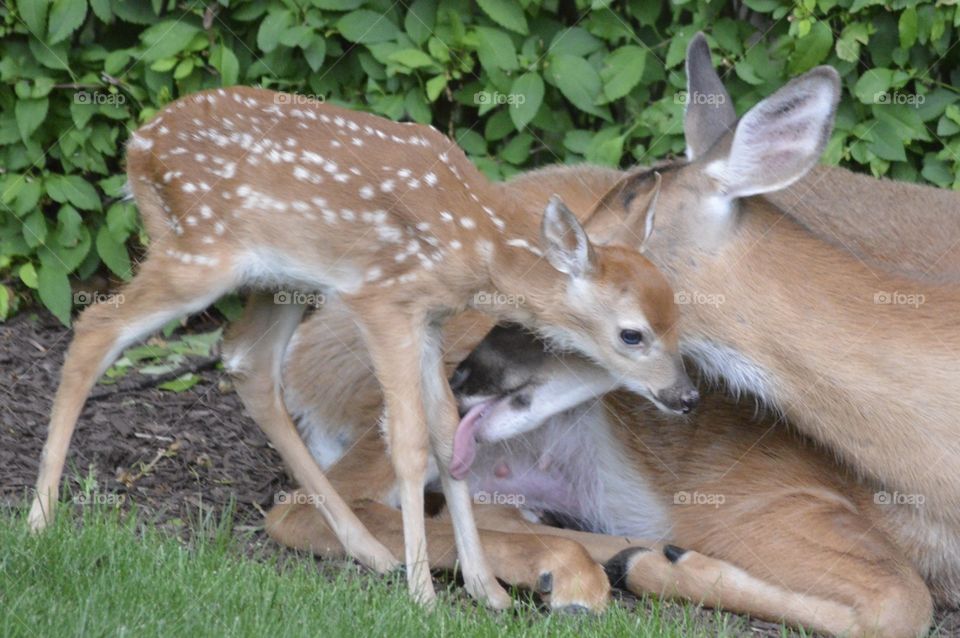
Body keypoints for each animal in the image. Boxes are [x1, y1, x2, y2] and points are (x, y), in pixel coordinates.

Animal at [26, 89, 692, 608]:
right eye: (631, 333)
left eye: (678, 318)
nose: (683, 396)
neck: (477, 241)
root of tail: (138, 145)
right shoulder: (383, 298)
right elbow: (409, 442)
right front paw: (426, 599)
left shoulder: (429, 317)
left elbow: (446, 429)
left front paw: (487, 592)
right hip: (198, 251)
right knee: (96, 327)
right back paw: (39, 522)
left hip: (279, 279)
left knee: (246, 362)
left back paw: (371, 552)